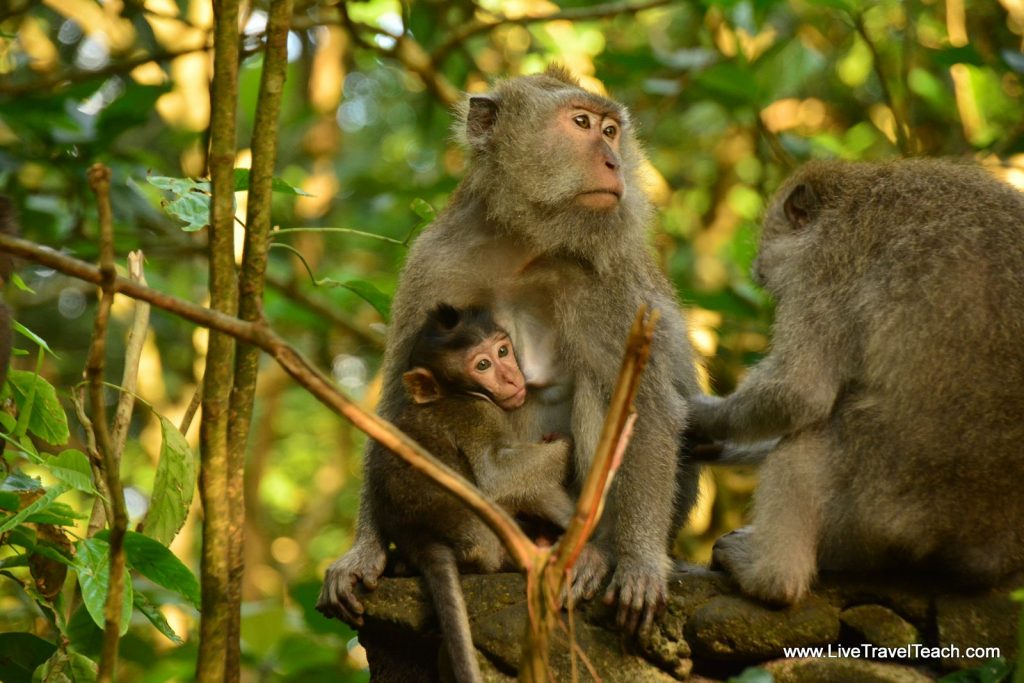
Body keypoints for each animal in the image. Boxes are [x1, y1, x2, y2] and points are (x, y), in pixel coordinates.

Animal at [317, 66, 702, 637]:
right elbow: (398, 404)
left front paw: (639, 563)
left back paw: (595, 554)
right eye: (582, 123)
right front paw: (365, 551)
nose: (613, 162)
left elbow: (642, 405)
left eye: (611, 131)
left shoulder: (610, 280)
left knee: (601, 391)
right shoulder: (434, 260)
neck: (523, 243)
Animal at [370, 303, 574, 683]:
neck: (458, 393)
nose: (510, 377)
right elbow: (495, 476)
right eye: (482, 366)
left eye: (503, 351)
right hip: (474, 532)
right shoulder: (477, 414)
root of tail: (422, 538)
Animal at [689, 158, 1024, 605]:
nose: (761, 274)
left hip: (884, 511)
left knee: (810, 443)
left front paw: (700, 415)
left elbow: (801, 392)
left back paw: (770, 577)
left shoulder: (825, 264)